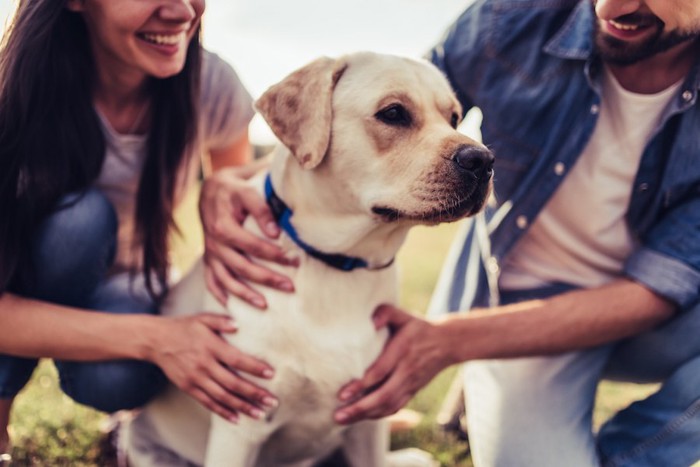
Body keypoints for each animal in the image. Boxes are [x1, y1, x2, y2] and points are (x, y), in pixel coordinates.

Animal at [124, 52, 492, 467]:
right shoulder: (240, 425)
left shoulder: (368, 421)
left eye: (454, 117)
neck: (337, 265)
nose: (483, 159)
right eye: (394, 113)